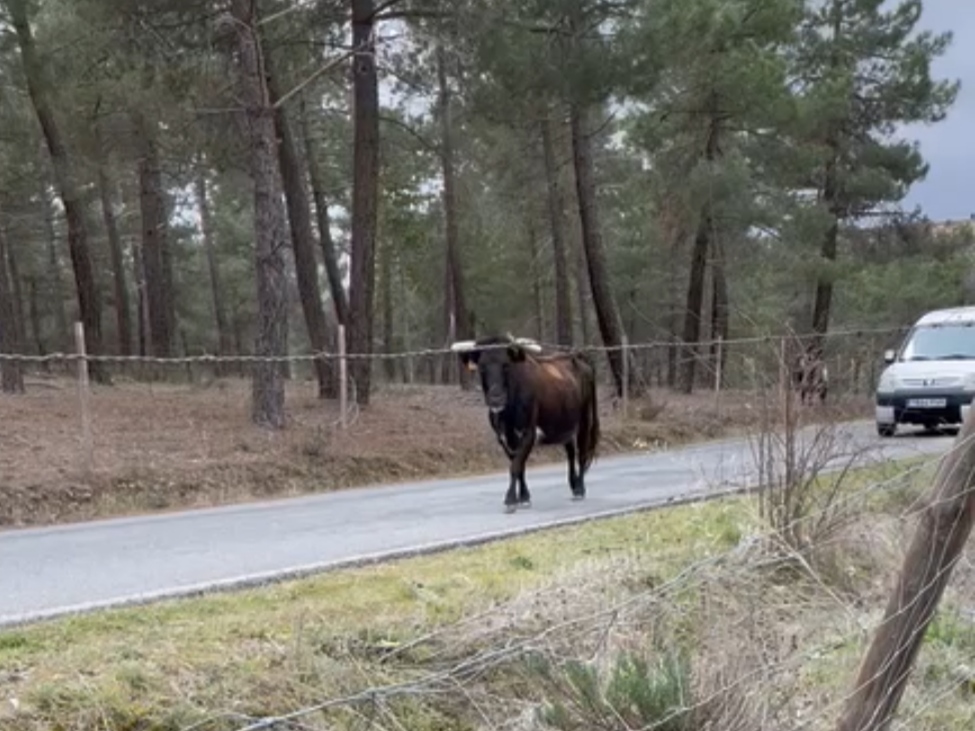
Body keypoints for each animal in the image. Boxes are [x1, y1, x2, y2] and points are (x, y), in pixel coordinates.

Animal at [450, 334, 601, 513]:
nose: (495, 399)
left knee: (582, 453)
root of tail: (577, 357)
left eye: (506, 365)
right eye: (481, 367)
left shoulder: (529, 432)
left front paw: (510, 500)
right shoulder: (503, 437)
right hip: (566, 425)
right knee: (570, 453)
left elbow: (515, 466)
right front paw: (523, 497)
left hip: (585, 419)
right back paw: (573, 484)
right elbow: (519, 466)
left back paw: (579, 489)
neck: (507, 414)